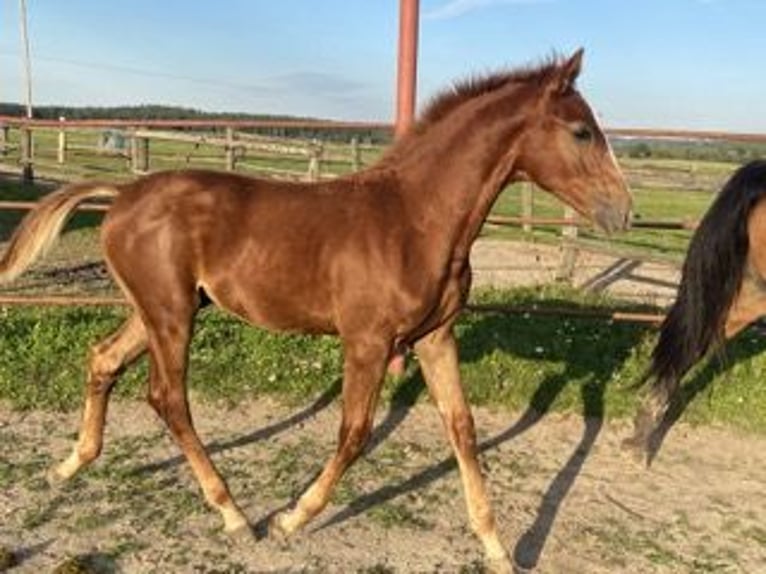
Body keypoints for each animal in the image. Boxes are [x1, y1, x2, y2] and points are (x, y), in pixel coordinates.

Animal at [0, 49, 630, 571]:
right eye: (581, 131)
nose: (623, 211)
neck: (416, 220)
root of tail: (122, 195)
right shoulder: (368, 341)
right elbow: (354, 433)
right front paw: (292, 518)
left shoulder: (436, 337)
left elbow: (463, 429)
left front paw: (498, 550)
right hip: (171, 315)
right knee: (167, 396)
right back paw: (234, 514)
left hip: (157, 309)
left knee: (104, 359)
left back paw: (71, 464)